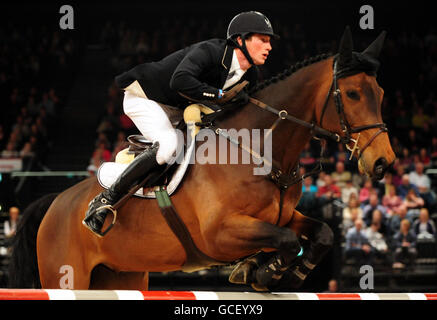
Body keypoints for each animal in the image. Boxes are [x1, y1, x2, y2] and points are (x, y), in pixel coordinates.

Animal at [8, 28, 396, 292]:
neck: (263, 152)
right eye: (352, 93)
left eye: (381, 93)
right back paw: (100, 209)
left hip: (121, 276)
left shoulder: (283, 216)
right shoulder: (219, 234)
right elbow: (286, 240)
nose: (383, 162)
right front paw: (262, 271)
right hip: (66, 275)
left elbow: (321, 233)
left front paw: (275, 271)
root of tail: (55, 201)